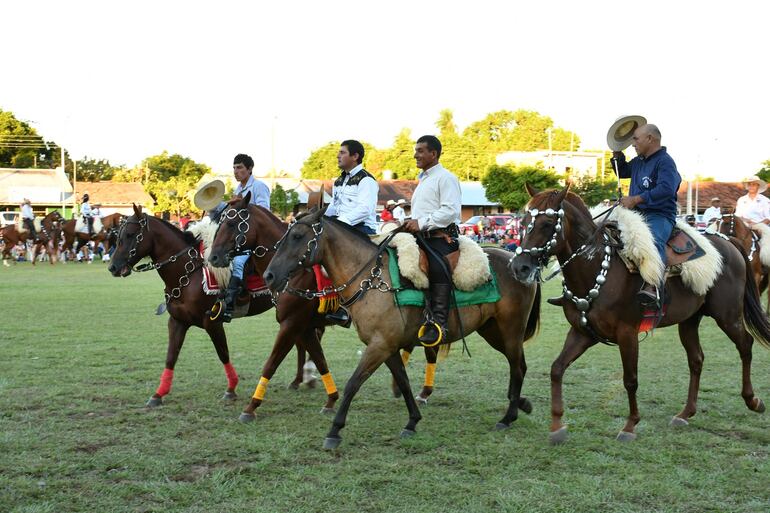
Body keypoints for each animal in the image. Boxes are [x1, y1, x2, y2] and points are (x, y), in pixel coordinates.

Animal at [107, 204, 332, 412]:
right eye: (117, 235)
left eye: (129, 235)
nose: (113, 267)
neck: (189, 272)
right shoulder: (177, 321)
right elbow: (171, 357)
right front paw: (158, 394)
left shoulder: (212, 322)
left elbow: (223, 353)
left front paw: (231, 390)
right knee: (302, 341)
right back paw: (299, 380)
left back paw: (307, 377)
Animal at [258, 206, 540, 450]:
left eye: (297, 236)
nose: (269, 276)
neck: (371, 279)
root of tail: (515, 262)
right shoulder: (388, 347)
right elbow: (403, 382)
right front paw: (412, 421)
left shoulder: (379, 346)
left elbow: (353, 383)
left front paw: (334, 430)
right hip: (492, 331)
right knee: (520, 365)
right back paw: (521, 404)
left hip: (510, 330)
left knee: (518, 367)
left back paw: (508, 417)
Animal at [508, 185, 764, 444]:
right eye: (524, 222)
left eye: (548, 223)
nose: (519, 267)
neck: (598, 267)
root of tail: (728, 242)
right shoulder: (583, 332)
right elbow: (557, 369)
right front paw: (557, 425)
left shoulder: (627, 334)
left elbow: (630, 380)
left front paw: (630, 426)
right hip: (689, 320)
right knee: (696, 359)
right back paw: (686, 413)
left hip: (728, 316)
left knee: (745, 345)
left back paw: (753, 400)